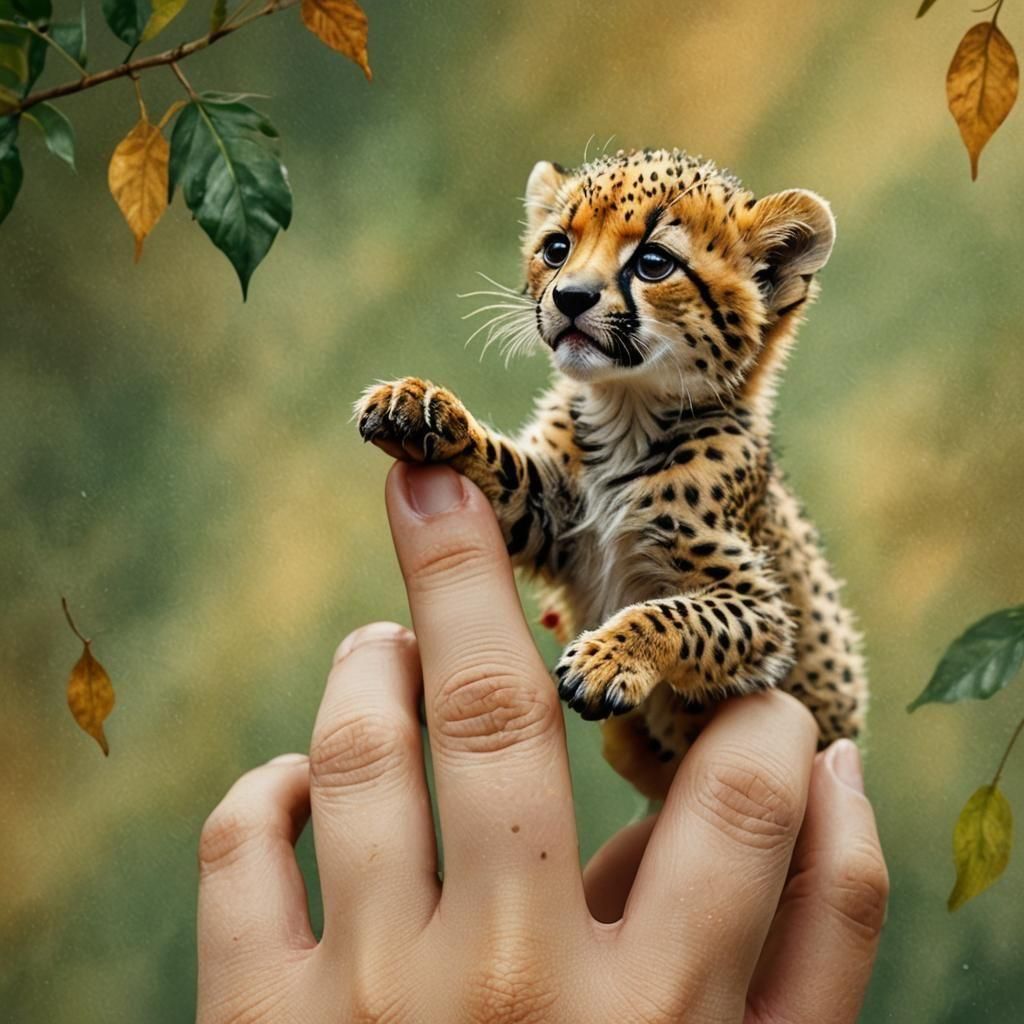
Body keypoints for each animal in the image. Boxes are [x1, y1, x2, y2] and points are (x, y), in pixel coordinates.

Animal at [355, 148, 865, 800]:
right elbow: (509, 470)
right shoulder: (552, 517)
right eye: (556, 248)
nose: (570, 296)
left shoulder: (765, 611)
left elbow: (679, 614)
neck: (629, 414)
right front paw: (420, 406)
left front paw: (607, 661)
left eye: (653, 262)